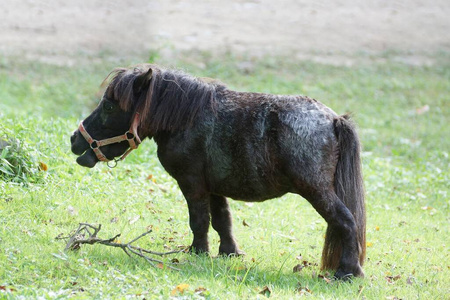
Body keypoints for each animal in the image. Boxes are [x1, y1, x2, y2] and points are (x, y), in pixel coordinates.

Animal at [70, 63, 366, 278]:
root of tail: (334, 120)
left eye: (109, 106)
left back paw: (348, 272)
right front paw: (229, 253)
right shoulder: (213, 187)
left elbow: (199, 220)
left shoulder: (192, 184)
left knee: (346, 221)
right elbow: (222, 221)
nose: (75, 139)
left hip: (317, 191)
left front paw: (197, 252)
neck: (185, 119)